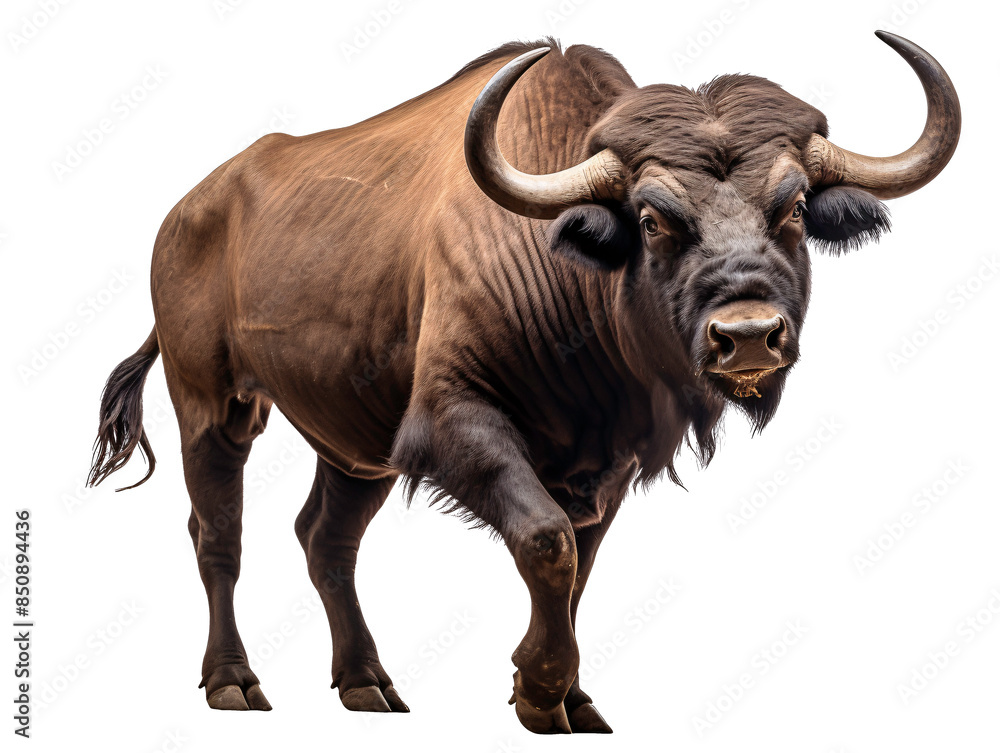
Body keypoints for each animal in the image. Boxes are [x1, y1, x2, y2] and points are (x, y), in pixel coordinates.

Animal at [88, 31, 960, 733]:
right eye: (652, 217)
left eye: (795, 206)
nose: (747, 335)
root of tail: (185, 212)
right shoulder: (455, 421)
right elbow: (545, 542)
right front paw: (539, 693)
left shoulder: (605, 465)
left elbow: (580, 563)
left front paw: (572, 697)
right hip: (214, 406)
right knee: (218, 535)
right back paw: (234, 682)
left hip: (356, 448)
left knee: (325, 538)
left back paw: (367, 682)